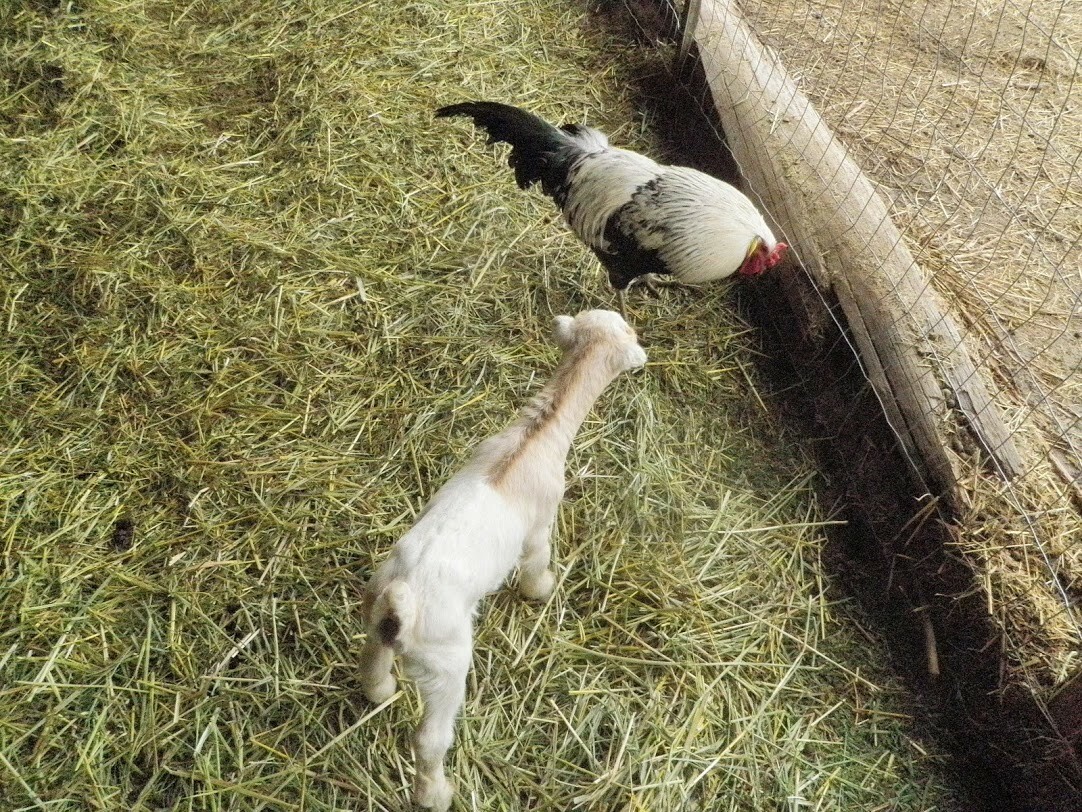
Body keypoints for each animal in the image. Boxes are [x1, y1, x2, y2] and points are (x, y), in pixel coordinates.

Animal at [359, 309, 647, 810]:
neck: (537, 436)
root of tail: (402, 598)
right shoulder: (541, 524)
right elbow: (536, 560)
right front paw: (542, 589)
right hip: (446, 665)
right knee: (430, 739)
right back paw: (437, 794)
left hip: (375, 617)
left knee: (372, 662)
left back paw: (381, 692)